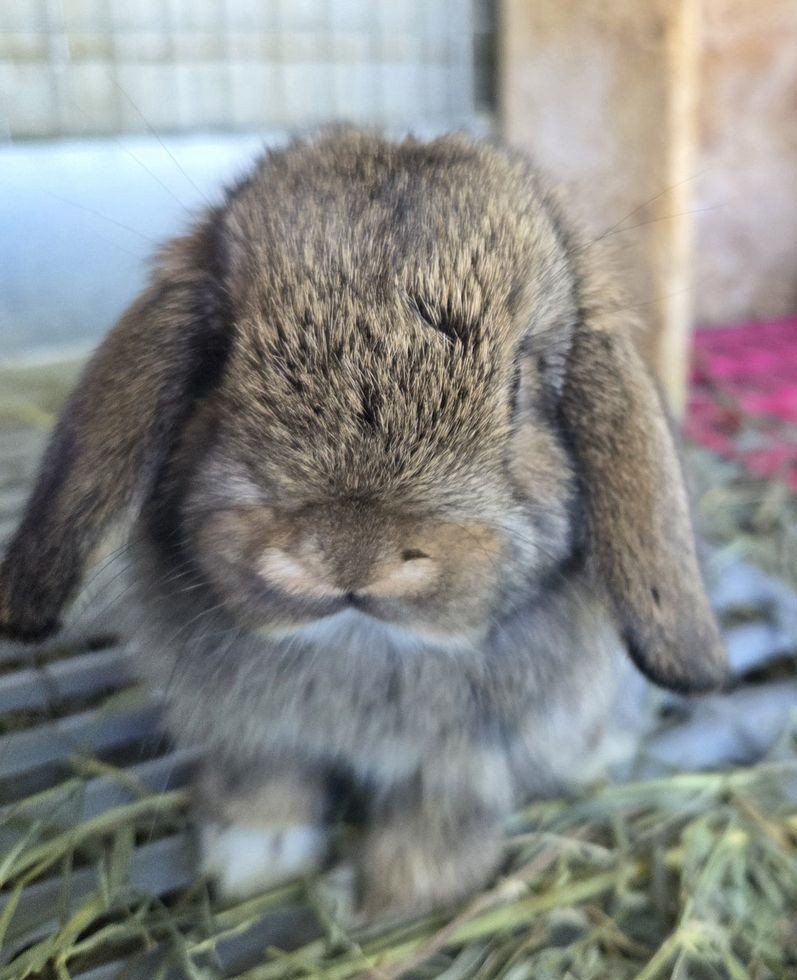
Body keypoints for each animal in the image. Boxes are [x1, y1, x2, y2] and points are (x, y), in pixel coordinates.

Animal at [0, 128, 727, 921]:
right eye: (220, 354)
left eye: (522, 384)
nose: (350, 555)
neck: (360, 641)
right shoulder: (250, 731)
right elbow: (265, 781)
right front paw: (251, 859)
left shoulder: (470, 764)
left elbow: (438, 830)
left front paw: (362, 901)